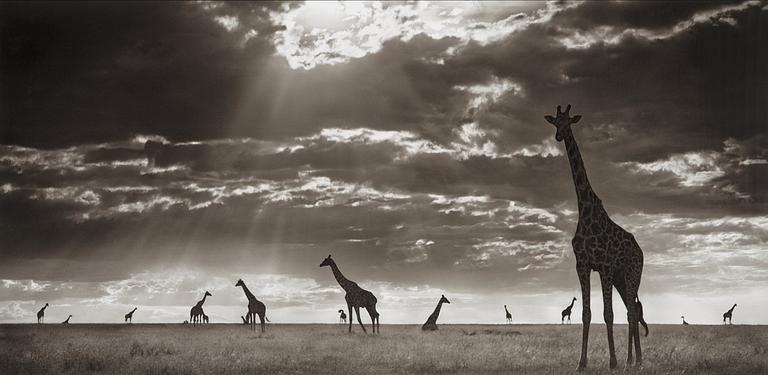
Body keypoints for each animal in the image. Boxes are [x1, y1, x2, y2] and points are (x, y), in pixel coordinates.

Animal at [544, 105, 644, 370]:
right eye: (554, 122)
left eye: (569, 122)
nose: (559, 136)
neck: (585, 209)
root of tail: (640, 251)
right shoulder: (583, 265)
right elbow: (586, 313)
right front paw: (581, 363)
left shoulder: (605, 266)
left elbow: (608, 314)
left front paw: (613, 362)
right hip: (621, 279)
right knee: (632, 310)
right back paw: (634, 360)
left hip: (632, 274)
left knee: (632, 311)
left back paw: (633, 361)